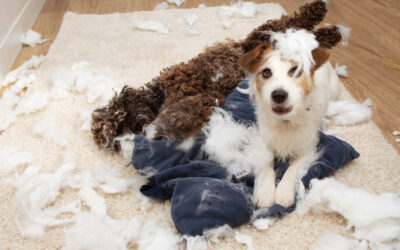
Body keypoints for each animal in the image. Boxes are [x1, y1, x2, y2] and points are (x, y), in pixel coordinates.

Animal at [239, 38, 342, 207]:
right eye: (266, 72)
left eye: (296, 71)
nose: (279, 95)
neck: (285, 123)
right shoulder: (264, 145)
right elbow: (267, 165)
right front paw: (265, 192)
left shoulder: (307, 151)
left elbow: (292, 170)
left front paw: (283, 192)